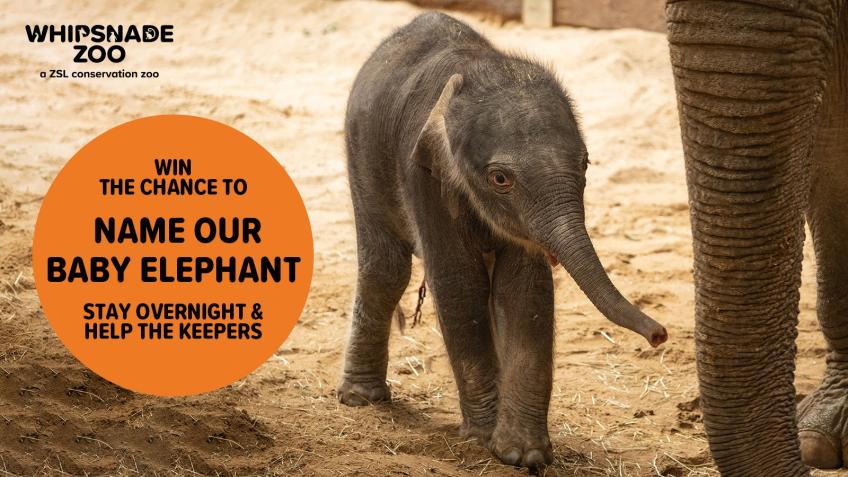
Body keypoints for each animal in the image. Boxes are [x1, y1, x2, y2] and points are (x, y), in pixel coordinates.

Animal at [337, 12, 667, 469]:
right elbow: (460, 283)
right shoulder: (424, 174)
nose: (659, 336)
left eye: (585, 163)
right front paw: (483, 438)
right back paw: (361, 399)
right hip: (363, 152)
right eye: (499, 178)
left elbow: (523, 289)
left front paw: (522, 453)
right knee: (387, 267)